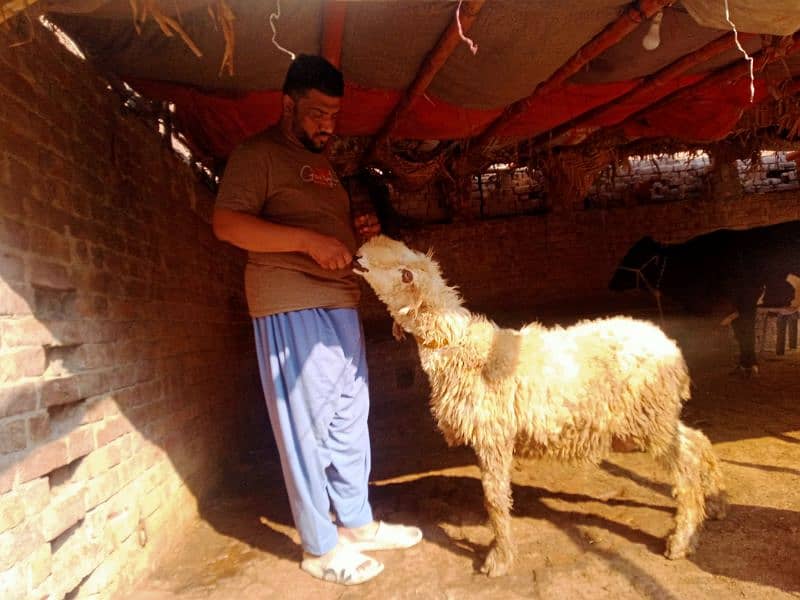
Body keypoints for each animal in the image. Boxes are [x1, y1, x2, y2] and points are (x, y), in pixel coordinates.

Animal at [354, 234, 724, 576]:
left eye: (402, 271)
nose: (356, 257)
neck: (462, 349)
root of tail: (672, 349)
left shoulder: (493, 436)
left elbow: (494, 498)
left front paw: (499, 558)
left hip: (649, 416)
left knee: (685, 464)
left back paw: (681, 538)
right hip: (653, 417)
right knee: (697, 441)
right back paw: (714, 501)